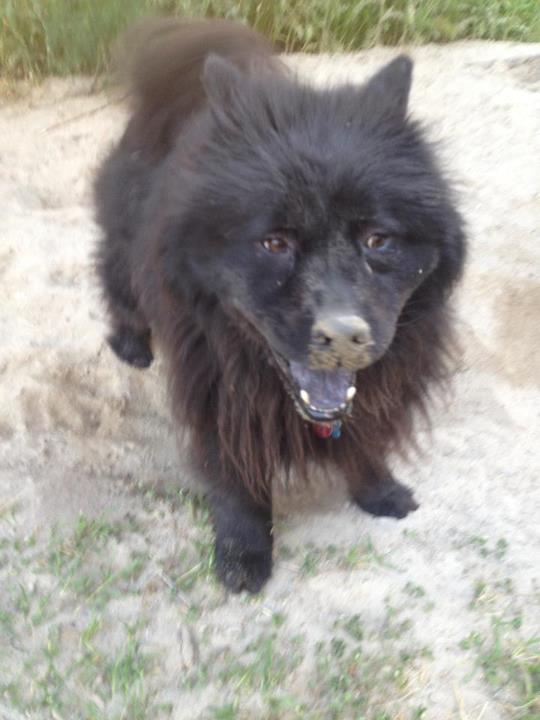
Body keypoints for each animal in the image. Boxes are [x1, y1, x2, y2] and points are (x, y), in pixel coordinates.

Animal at [93, 18, 464, 592]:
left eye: (378, 240)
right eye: (274, 243)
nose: (343, 335)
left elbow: (368, 436)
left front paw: (379, 490)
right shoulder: (216, 386)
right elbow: (234, 474)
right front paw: (243, 552)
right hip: (127, 250)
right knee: (118, 283)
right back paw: (132, 344)